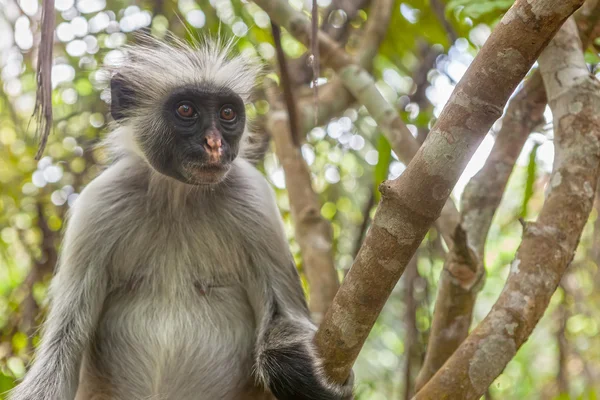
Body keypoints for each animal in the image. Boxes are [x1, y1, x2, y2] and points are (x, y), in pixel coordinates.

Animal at [8, 34, 352, 400]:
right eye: (186, 110)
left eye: (227, 113)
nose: (214, 144)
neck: (178, 196)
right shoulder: (100, 205)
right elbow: (60, 351)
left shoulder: (254, 201)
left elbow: (285, 316)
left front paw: (293, 369)